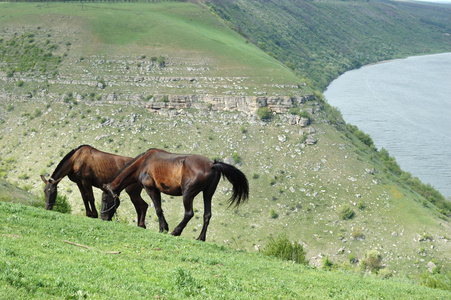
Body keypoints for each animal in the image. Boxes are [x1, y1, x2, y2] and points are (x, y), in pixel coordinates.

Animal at [103, 148, 249, 241]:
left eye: (104, 199)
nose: (103, 217)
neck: (144, 162)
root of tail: (212, 165)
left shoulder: (151, 189)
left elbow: (158, 209)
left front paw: (163, 229)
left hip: (188, 194)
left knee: (189, 213)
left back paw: (176, 232)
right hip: (207, 194)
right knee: (207, 215)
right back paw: (200, 238)